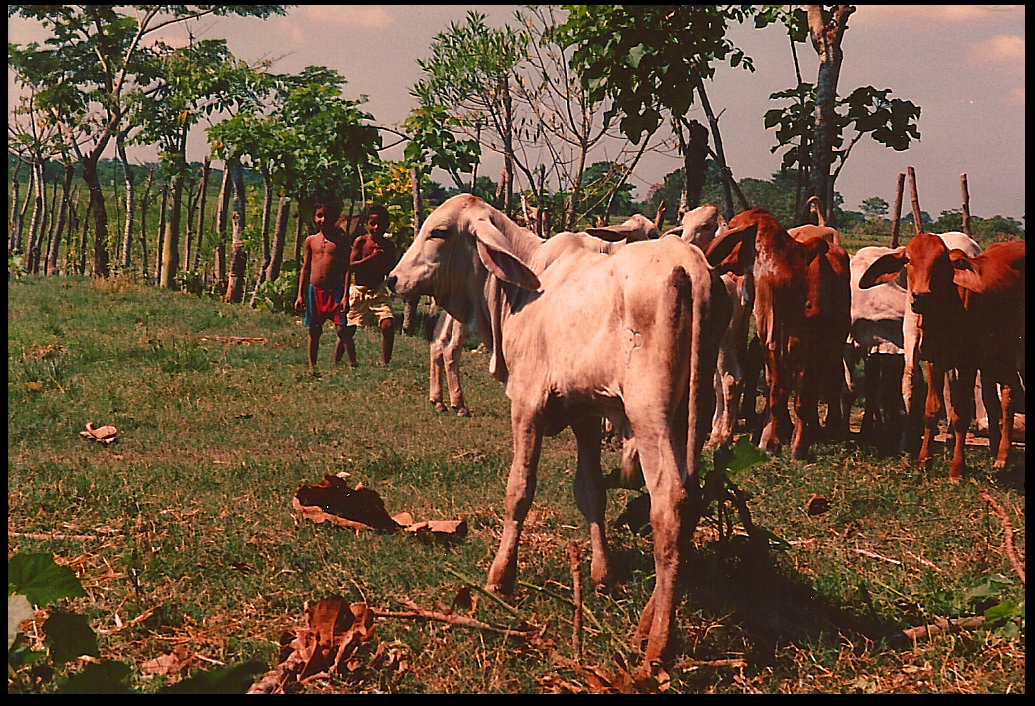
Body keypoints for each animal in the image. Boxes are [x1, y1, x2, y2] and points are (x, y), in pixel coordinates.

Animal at [861, 234, 1022, 478]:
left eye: (941, 262)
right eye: (908, 260)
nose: (920, 296)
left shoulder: (967, 365)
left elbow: (961, 415)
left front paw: (956, 469)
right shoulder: (934, 362)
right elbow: (931, 410)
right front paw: (923, 461)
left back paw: (1002, 457)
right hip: (998, 353)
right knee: (1009, 391)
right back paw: (1002, 456)